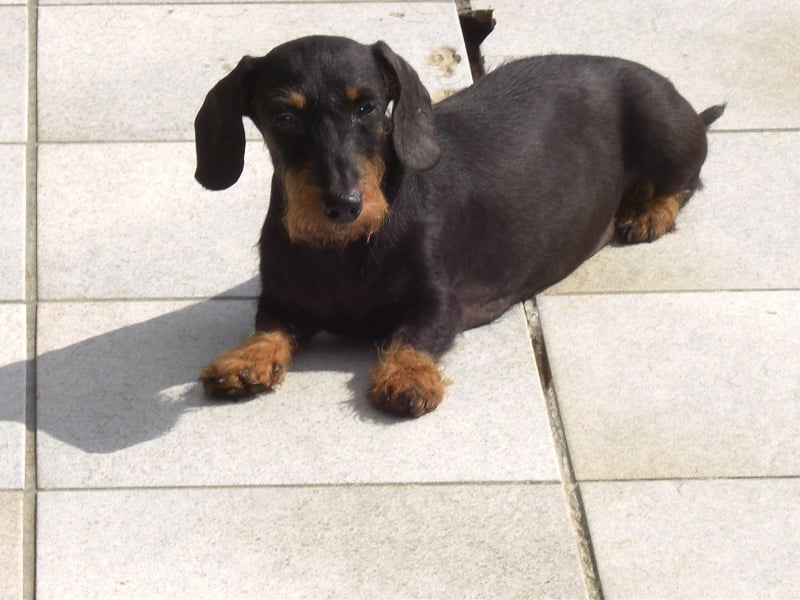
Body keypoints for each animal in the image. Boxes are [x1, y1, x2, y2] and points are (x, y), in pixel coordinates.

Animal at [194, 35, 724, 417]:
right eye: (284, 116)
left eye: (367, 107)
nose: (344, 205)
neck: (344, 249)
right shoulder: (281, 299)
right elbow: (270, 326)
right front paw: (247, 359)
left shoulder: (440, 301)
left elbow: (411, 335)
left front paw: (408, 377)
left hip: (664, 130)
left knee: (688, 180)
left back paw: (648, 212)